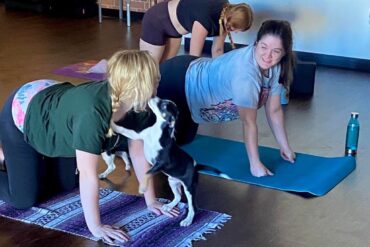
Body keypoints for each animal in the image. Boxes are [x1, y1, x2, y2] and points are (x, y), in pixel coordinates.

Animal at [110, 96, 228, 226]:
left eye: (164, 106)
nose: (153, 97)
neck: (157, 131)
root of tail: (196, 166)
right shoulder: (137, 136)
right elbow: (122, 129)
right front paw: (112, 122)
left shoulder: (161, 163)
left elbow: (147, 173)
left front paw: (143, 187)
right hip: (172, 181)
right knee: (178, 196)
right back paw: (169, 206)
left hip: (189, 188)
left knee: (193, 207)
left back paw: (187, 220)